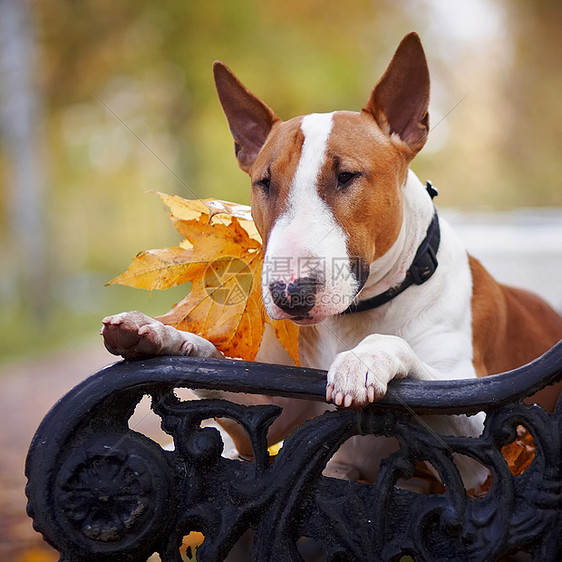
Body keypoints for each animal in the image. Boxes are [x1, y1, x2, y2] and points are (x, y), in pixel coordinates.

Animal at [101, 31, 560, 486]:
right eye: (264, 182)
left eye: (346, 176)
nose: (290, 293)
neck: (358, 314)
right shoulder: (270, 418)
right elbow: (218, 372)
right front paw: (156, 334)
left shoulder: (482, 449)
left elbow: (404, 356)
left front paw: (363, 359)